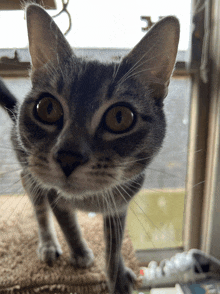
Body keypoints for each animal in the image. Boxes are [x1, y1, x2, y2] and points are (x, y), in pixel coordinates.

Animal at [0, 4, 179, 294]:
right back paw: (48, 243)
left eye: (120, 117)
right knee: (34, 196)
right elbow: (67, 223)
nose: (68, 157)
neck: (87, 199)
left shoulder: (120, 203)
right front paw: (81, 254)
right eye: (47, 108)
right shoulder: (54, 194)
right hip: (28, 165)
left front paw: (118, 276)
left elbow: (115, 246)